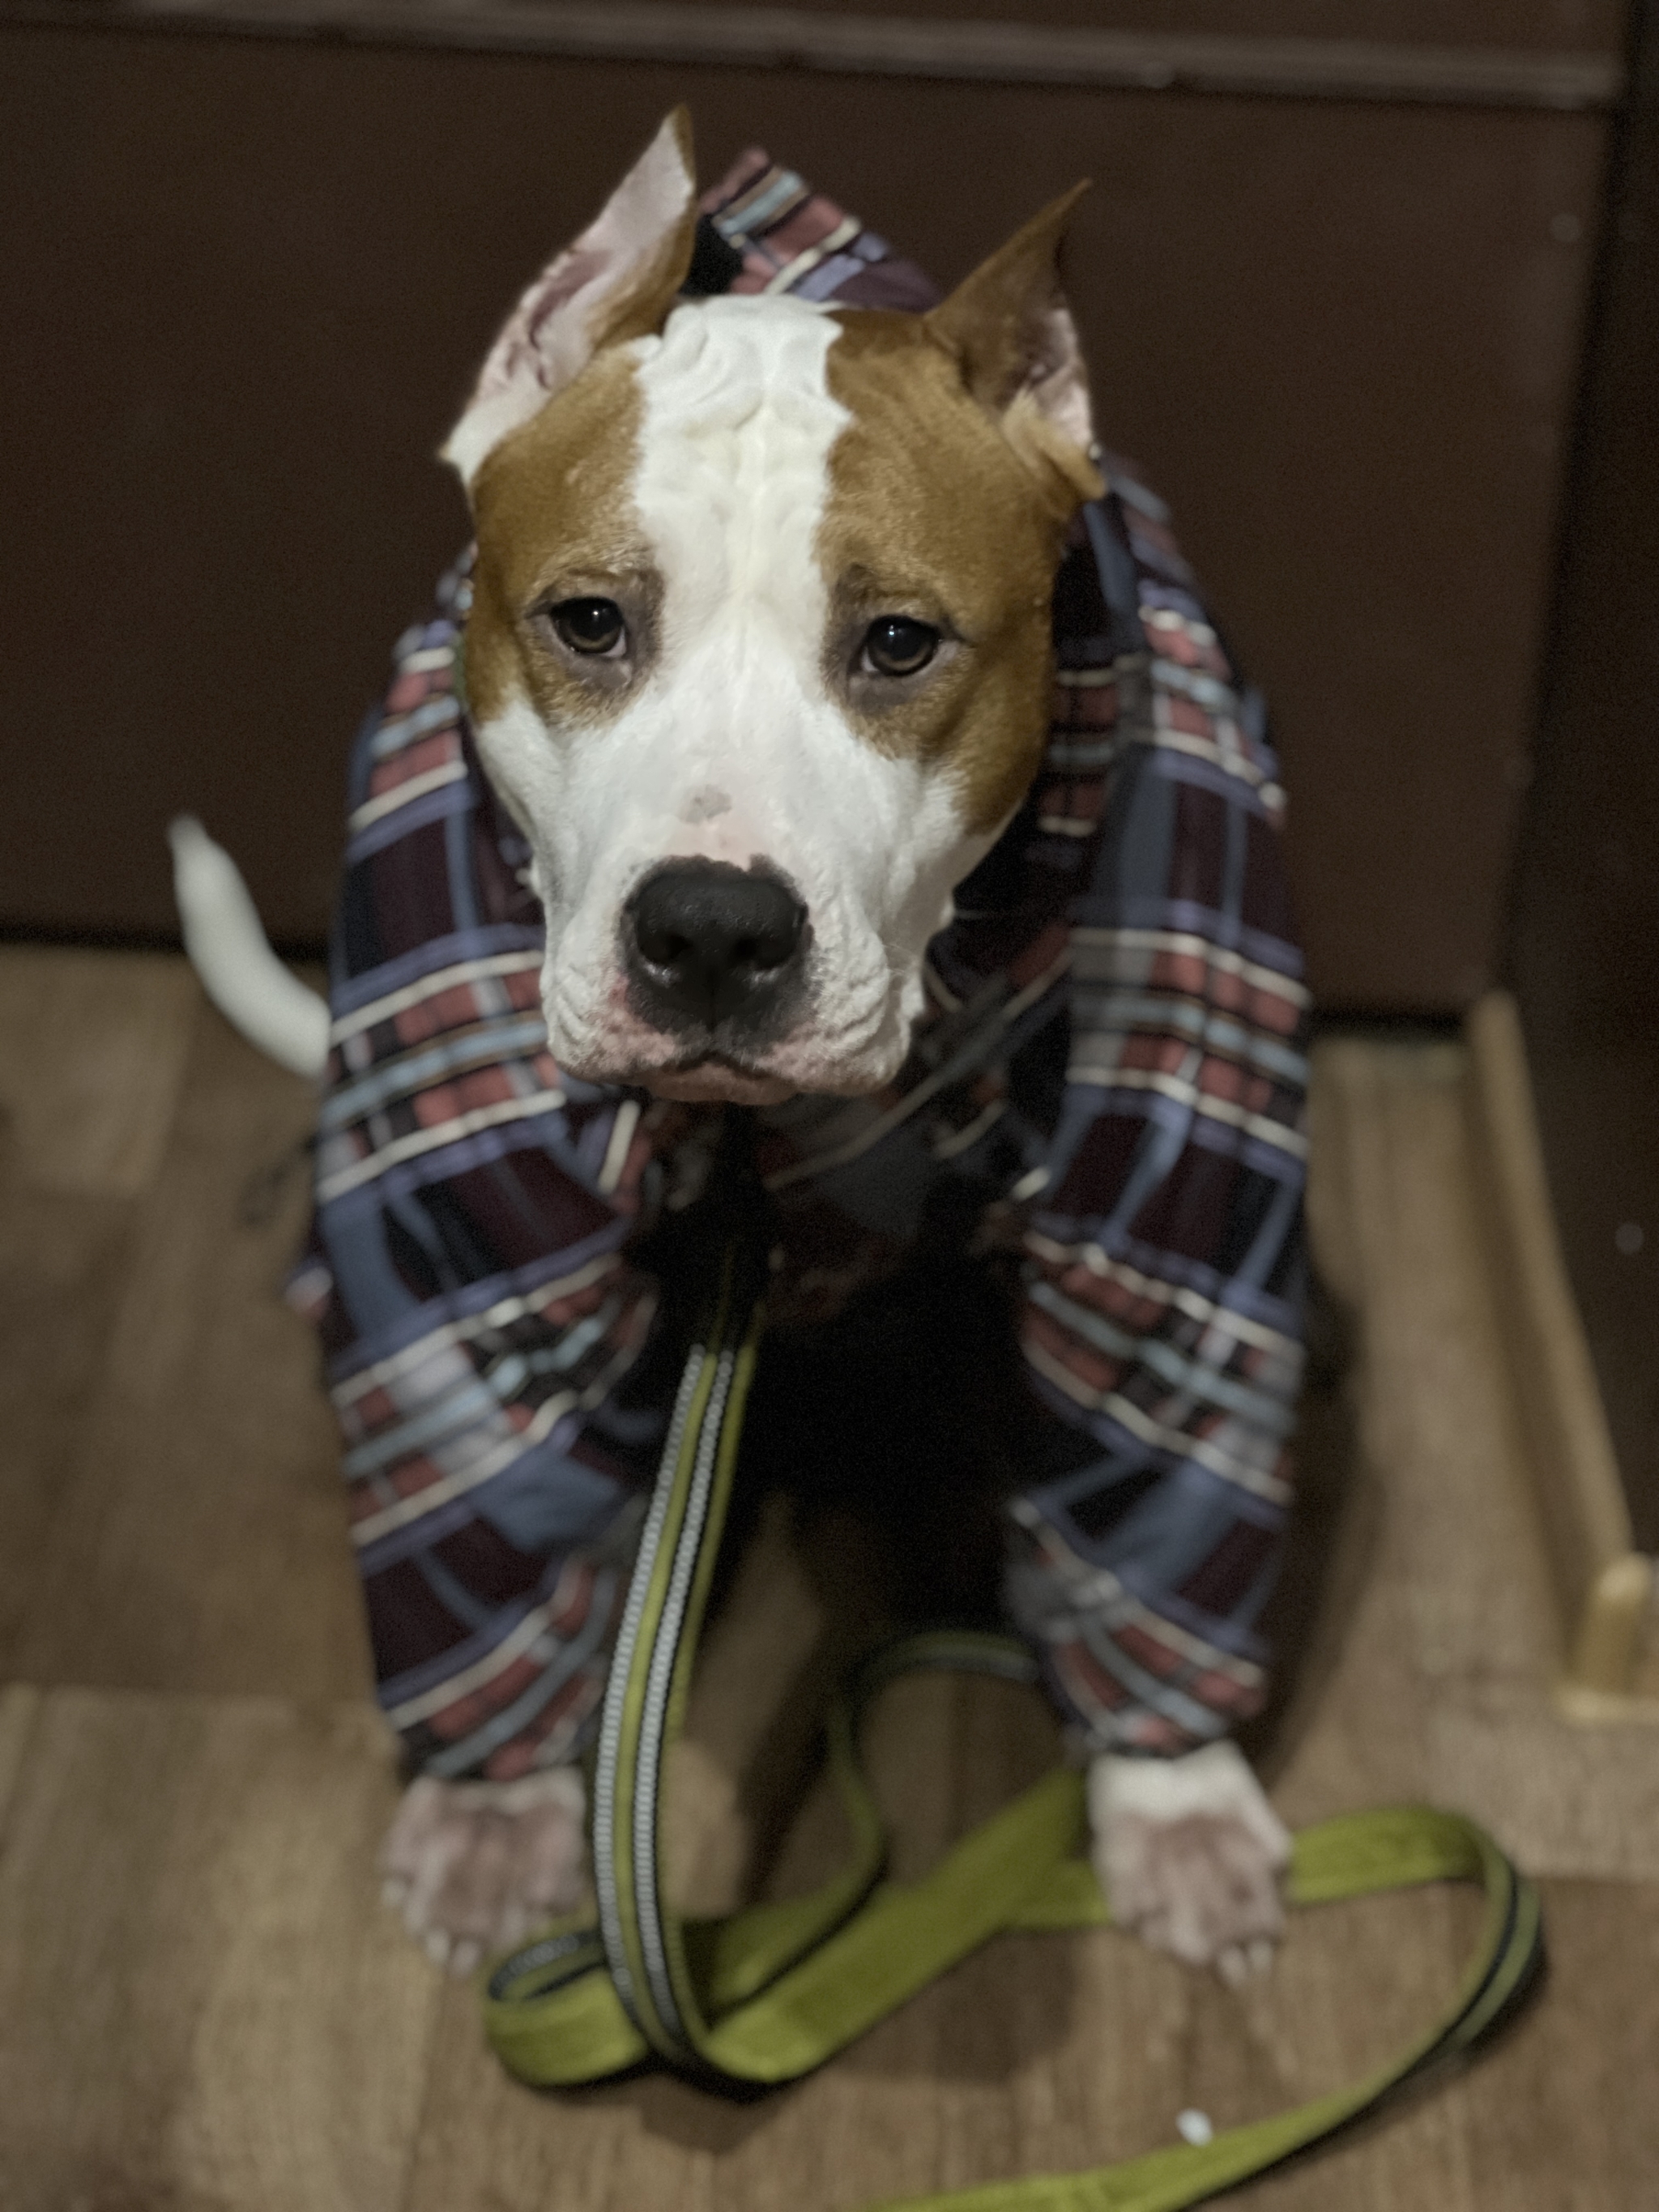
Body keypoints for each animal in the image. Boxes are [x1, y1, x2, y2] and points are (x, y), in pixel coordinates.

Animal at [168, 112, 1309, 1999]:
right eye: (586, 623)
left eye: (899, 643)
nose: (708, 929)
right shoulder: (481, 1223)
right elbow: (489, 1478)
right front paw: (493, 1808)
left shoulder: (1168, 1195)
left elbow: (1162, 1458)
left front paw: (1173, 1796)